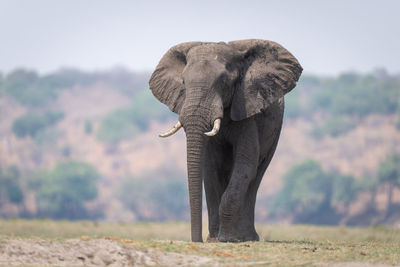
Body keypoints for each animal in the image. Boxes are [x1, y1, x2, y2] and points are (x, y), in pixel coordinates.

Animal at [150, 39, 304, 243]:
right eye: (183, 82)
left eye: (223, 82)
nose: (197, 240)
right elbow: (210, 167)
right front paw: (215, 239)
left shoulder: (246, 109)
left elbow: (246, 163)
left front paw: (228, 238)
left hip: (275, 131)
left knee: (257, 173)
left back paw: (247, 237)